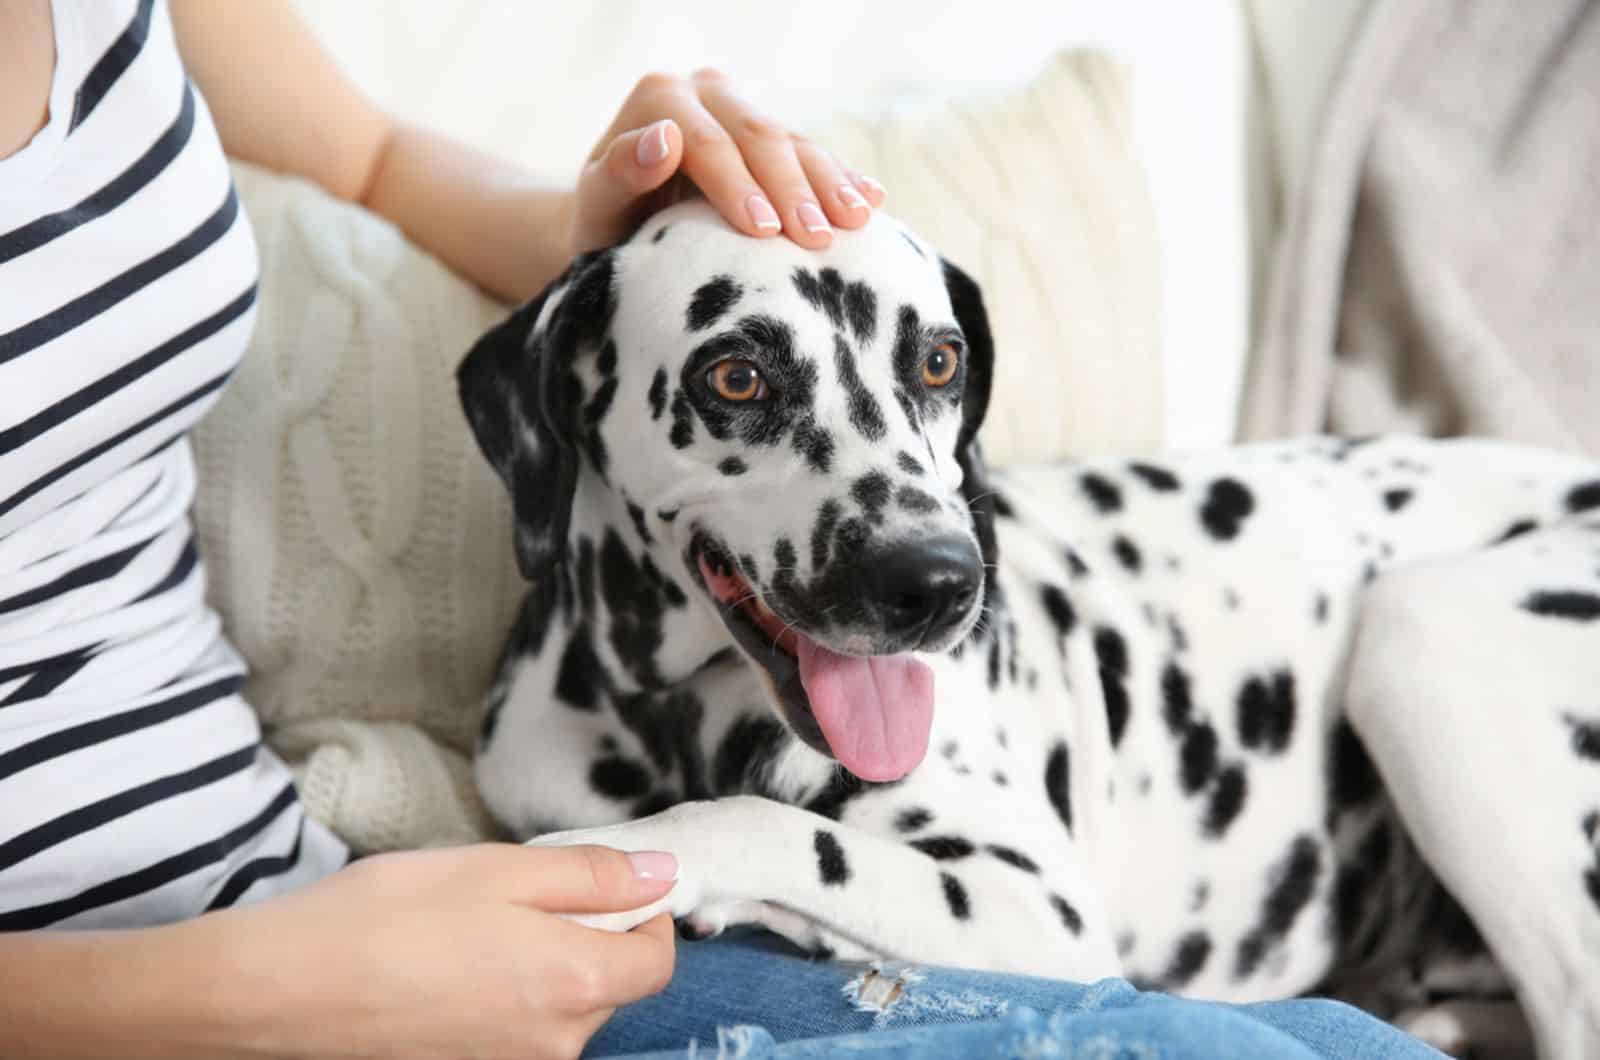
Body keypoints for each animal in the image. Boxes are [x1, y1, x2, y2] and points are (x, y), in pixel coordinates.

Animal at [460, 201, 1600, 1060]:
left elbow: (767, 828)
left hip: (1419, 639)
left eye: (938, 361)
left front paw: (624, 862)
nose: (937, 581)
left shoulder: (1037, 913)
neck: (673, 720)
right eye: (736, 375)